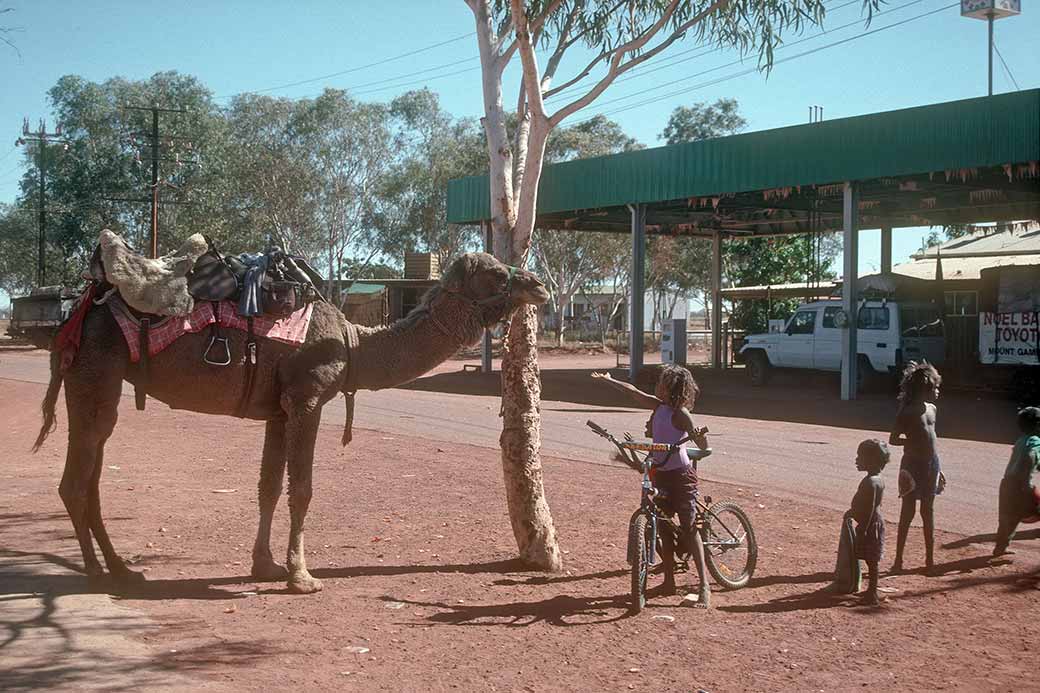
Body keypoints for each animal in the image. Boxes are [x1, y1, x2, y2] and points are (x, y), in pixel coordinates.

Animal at [35, 250, 549, 591]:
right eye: (496, 272)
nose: (540, 284)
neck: (352, 343)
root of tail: (79, 311)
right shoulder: (307, 399)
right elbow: (302, 488)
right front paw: (303, 576)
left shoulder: (278, 410)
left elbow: (268, 486)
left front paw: (266, 567)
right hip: (95, 373)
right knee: (74, 481)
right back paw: (97, 573)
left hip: (98, 386)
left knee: (91, 474)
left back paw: (122, 568)